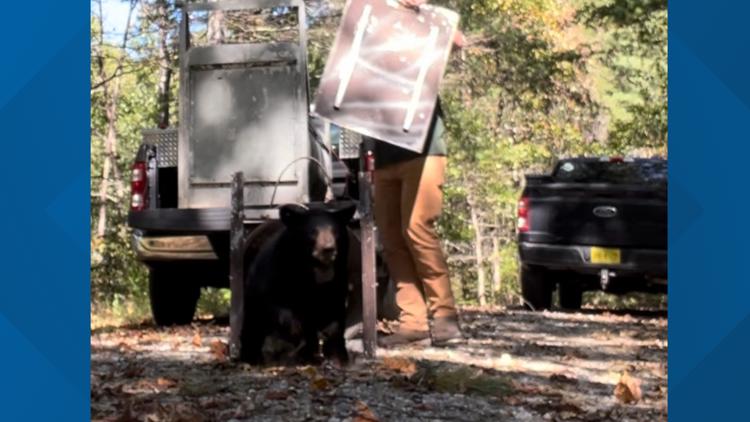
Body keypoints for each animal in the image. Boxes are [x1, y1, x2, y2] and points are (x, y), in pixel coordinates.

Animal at [241, 202, 358, 366]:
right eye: (312, 232)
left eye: (335, 232)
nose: (328, 249)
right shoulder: (276, 273)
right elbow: (277, 306)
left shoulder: (337, 282)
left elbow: (335, 317)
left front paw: (338, 358)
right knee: (253, 324)